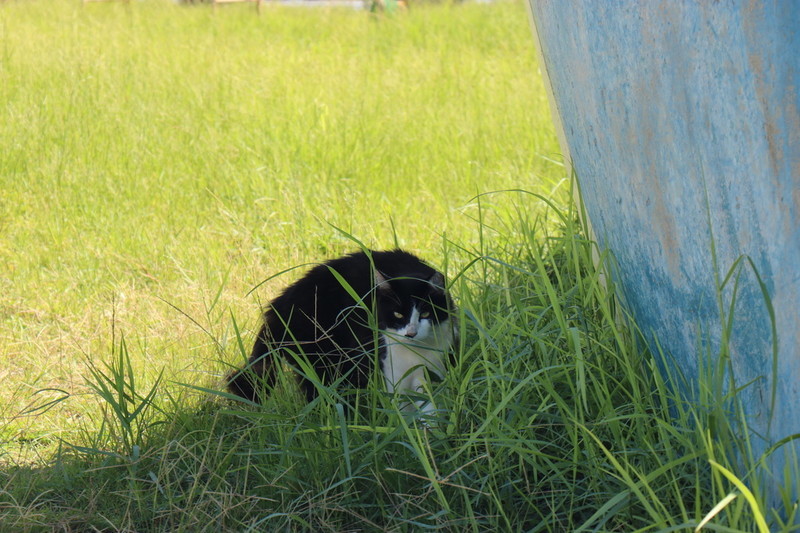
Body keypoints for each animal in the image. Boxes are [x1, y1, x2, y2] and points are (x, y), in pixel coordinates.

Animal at [228, 247, 460, 414]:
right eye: (398, 315)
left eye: (426, 314)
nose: (411, 333)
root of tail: (280, 305)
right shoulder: (393, 369)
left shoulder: (435, 367)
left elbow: (430, 407)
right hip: (326, 359)